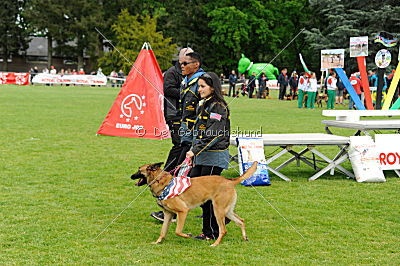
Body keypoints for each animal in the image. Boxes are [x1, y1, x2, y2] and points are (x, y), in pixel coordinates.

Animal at [130, 162, 258, 247]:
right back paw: (245, 237)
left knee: (223, 230)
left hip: (218, 210)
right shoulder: (168, 214)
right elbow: (163, 231)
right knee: (241, 221)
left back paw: (215, 244)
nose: (131, 176)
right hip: (227, 211)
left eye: (139, 170)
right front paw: (158, 242)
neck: (161, 182)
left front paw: (187, 235)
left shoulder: (183, 211)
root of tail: (229, 181)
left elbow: (177, 231)